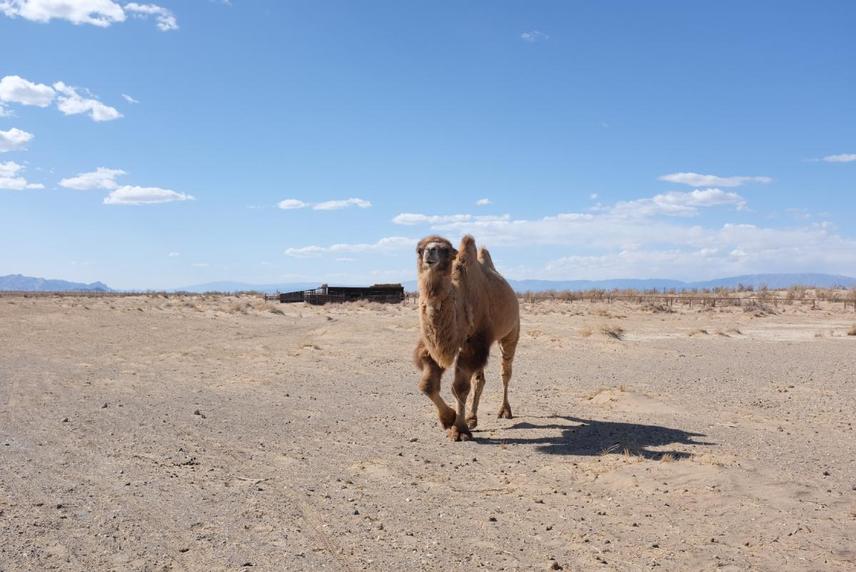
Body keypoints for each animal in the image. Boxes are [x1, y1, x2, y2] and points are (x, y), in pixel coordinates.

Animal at [413, 234, 520, 441]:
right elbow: (427, 385)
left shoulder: (475, 342)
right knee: (480, 379)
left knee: (505, 372)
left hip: (511, 332)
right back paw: (472, 417)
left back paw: (504, 411)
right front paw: (449, 419)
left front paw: (460, 429)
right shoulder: (437, 345)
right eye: (419, 249)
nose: (431, 251)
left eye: (446, 250)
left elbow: (459, 388)